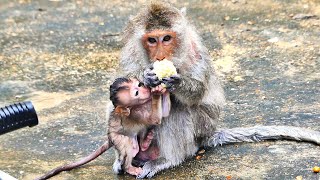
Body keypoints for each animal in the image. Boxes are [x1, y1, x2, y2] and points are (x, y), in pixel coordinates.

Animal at [119, 2, 320, 179]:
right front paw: (145, 77)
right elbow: (121, 87)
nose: (160, 56)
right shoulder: (130, 52)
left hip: (202, 127)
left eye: (167, 38)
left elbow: (198, 92)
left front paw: (177, 83)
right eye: (152, 40)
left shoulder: (195, 50)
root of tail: (208, 134)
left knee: (177, 107)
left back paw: (167, 159)